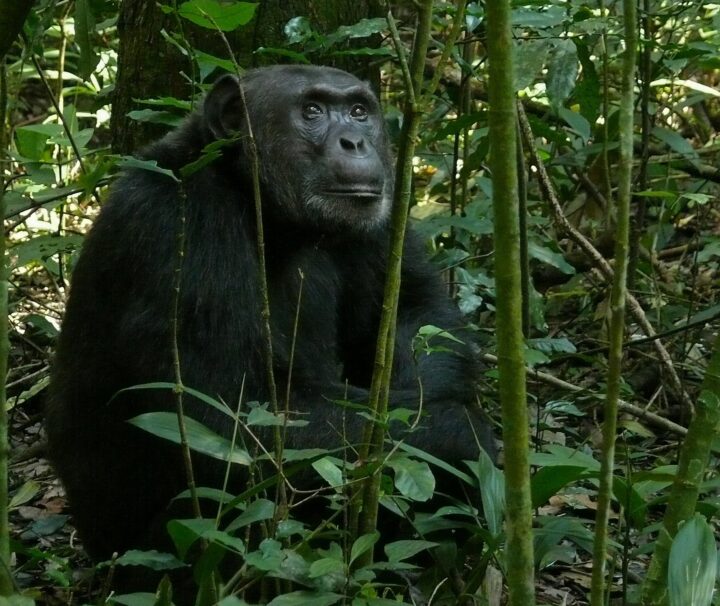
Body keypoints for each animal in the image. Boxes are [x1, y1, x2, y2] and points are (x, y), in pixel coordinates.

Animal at [45, 64, 496, 564]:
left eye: (359, 111)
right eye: (312, 110)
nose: (355, 141)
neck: (266, 211)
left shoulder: (382, 219)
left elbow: (418, 310)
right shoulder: (178, 233)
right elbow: (231, 420)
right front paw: (461, 435)